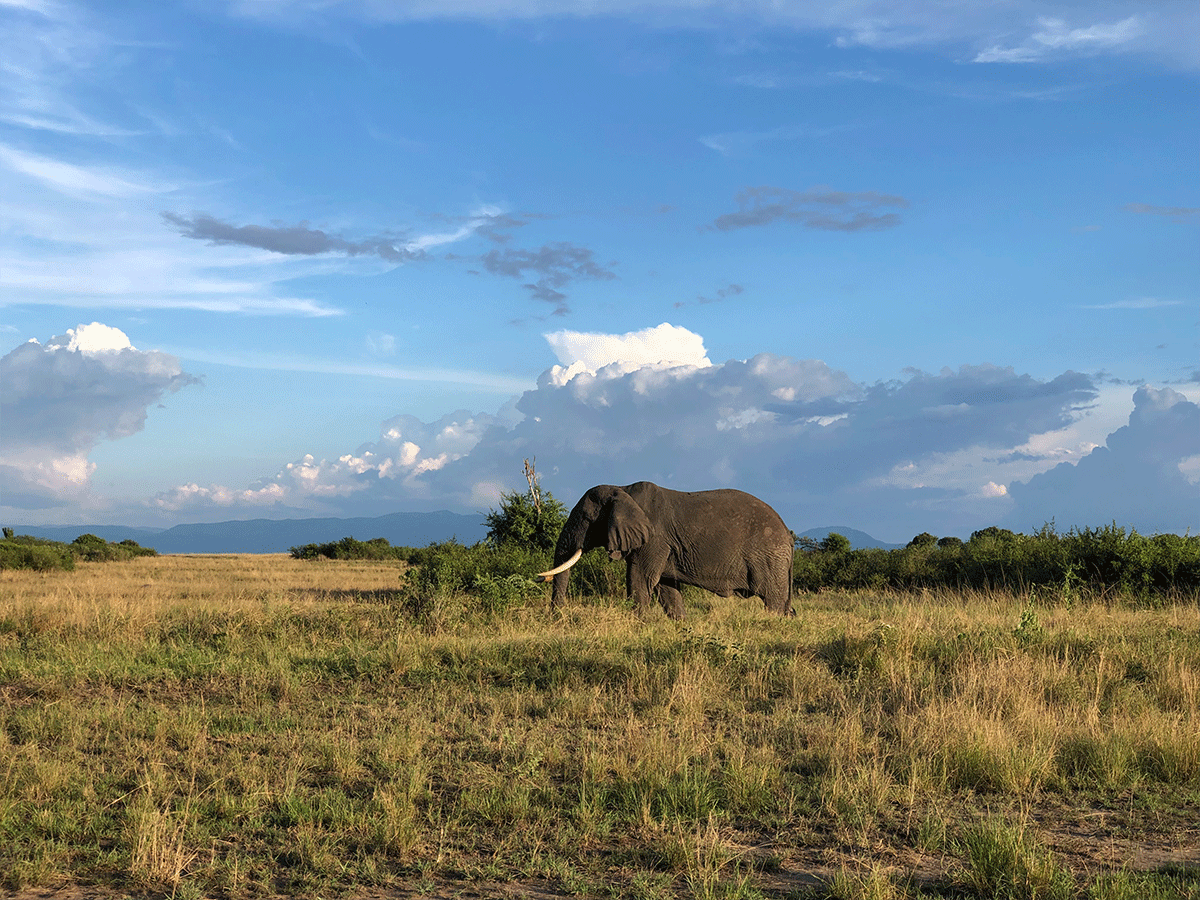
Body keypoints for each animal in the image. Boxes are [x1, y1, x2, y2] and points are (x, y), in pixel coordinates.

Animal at [540, 482, 792, 624]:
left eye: (586, 519)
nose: (556, 618)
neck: (622, 489)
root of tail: (787, 533)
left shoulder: (655, 539)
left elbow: (640, 580)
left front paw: (637, 625)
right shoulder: (666, 546)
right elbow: (665, 587)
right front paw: (681, 626)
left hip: (769, 557)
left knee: (773, 599)